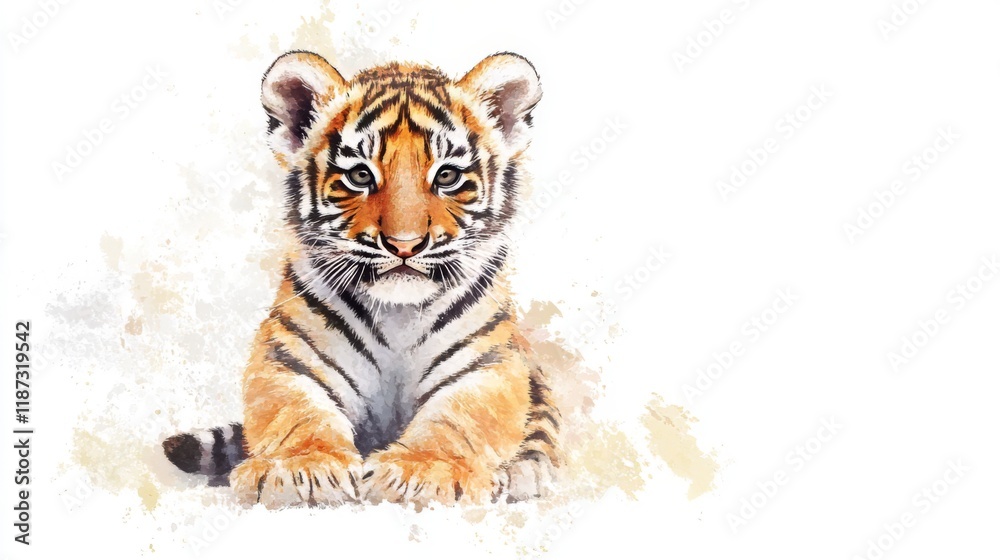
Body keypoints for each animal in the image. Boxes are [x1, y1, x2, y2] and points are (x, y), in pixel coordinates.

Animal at [162, 51, 560, 508]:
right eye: (360, 176)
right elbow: (295, 412)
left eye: (446, 176)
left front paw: (422, 471)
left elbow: (457, 420)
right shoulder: (290, 357)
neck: (399, 313)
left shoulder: (485, 364)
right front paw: (301, 468)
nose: (405, 245)